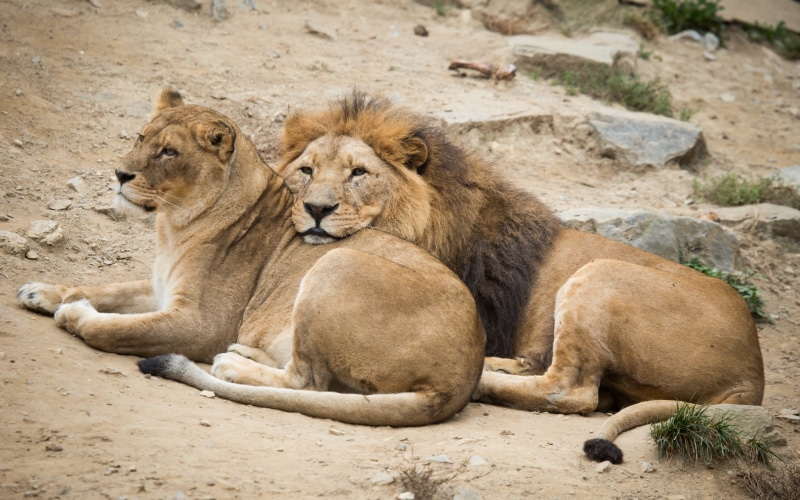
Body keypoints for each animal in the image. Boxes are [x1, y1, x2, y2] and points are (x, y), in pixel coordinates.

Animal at [17, 89, 485, 427]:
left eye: (169, 152)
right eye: (140, 138)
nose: (119, 174)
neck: (174, 226)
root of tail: (460, 379)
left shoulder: (202, 323)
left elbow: (118, 330)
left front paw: (76, 315)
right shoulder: (160, 288)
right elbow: (107, 288)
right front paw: (42, 292)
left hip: (334, 265)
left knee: (310, 383)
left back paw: (232, 366)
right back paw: (245, 354)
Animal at [275, 92, 764, 462]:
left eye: (359, 173)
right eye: (306, 170)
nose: (317, 209)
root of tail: (753, 374)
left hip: (599, 274)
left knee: (572, 391)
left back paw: (486, 381)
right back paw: (503, 365)